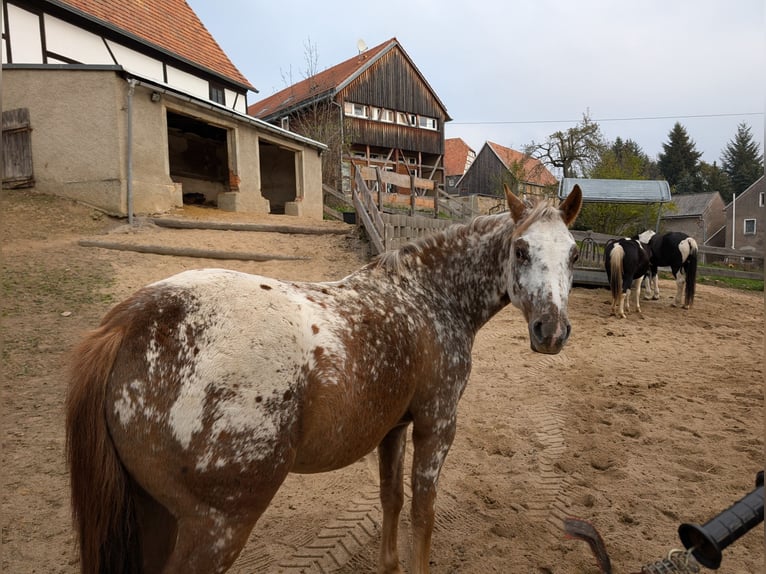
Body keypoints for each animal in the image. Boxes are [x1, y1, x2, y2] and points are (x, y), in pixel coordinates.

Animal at [65, 183, 583, 574]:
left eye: (574, 255)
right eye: (521, 250)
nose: (551, 332)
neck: (426, 299)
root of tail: (128, 324)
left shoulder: (393, 429)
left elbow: (392, 499)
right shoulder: (436, 426)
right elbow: (423, 511)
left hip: (154, 514)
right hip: (216, 527)